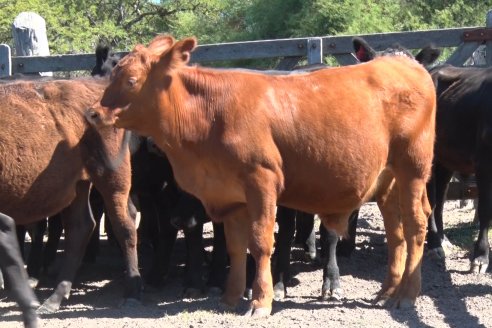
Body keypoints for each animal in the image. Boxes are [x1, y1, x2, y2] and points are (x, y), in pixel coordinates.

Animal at [0, 77, 141, 318]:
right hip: (78, 185)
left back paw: (131, 293)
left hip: (112, 178)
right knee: (81, 227)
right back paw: (54, 299)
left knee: (124, 226)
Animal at [94, 34, 436, 316]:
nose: (94, 112)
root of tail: (404, 64)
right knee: (396, 231)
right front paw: (231, 297)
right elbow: (235, 245)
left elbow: (259, 243)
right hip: (388, 180)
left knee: (415, 225)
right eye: (112, 74)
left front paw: (260, 300)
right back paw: (387, 291)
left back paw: (407, 295)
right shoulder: (229, 193)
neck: (211, 113)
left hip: (413, 169)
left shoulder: (261, 181)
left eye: (131, 80)